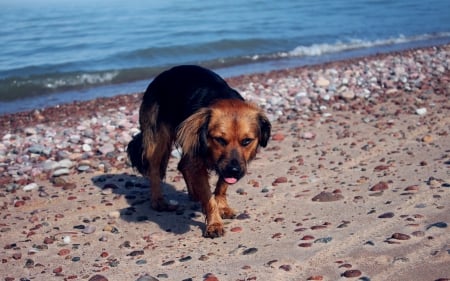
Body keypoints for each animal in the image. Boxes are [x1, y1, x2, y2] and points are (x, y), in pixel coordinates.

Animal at [126, 64, 270, 236]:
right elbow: (208, 197)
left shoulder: (224, 165)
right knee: (154, 169)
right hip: (158, 139)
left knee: (183, 165)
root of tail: (163, 74)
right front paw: (214, 223)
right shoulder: (204, 161)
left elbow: (222, 185)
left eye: (246, 141)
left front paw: (222, 207)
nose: (234, 171)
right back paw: (158, 201)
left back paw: (194, 194)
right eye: (220, 140)